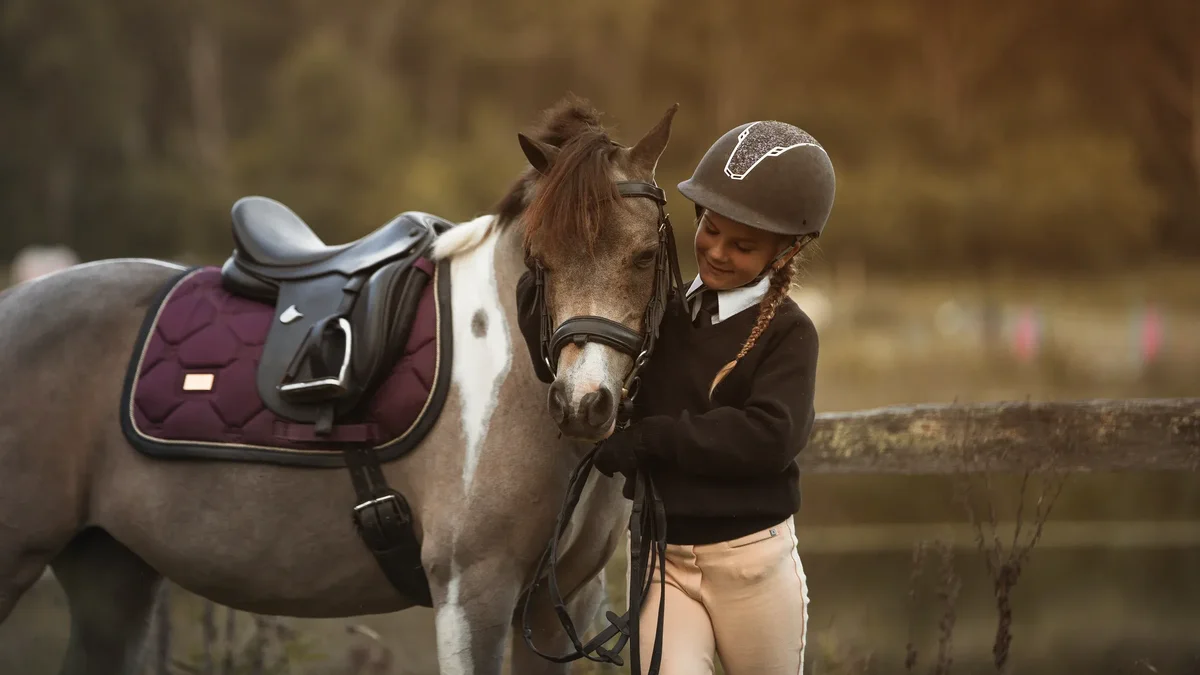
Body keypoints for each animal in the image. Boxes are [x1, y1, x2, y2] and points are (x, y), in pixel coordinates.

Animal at [0, 96, 682, 675]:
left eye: (645, 256)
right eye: (541, 258)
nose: (582, 403)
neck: (509, 373)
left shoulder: (556, 603)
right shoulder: (474, 594)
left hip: (112, 573)